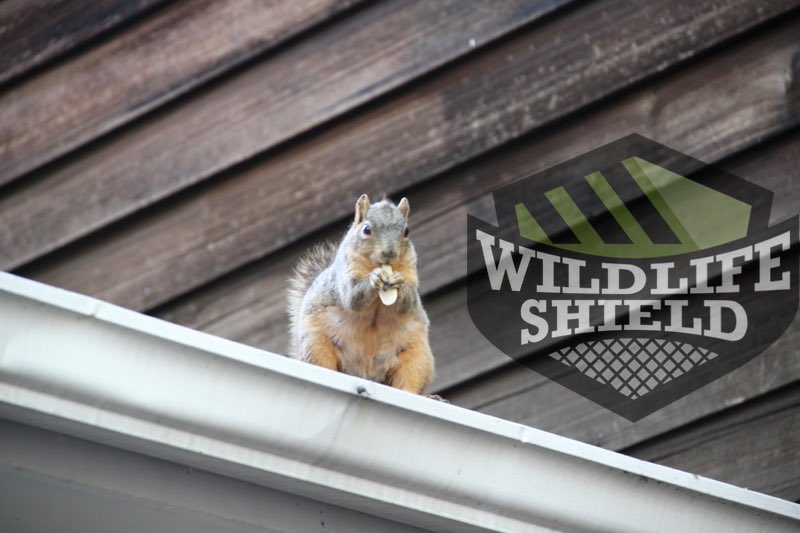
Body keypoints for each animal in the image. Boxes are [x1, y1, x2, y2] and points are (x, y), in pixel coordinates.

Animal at [287, 194, 435, 394]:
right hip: (315, 345)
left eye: (407, 231)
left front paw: (399, 283)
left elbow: (409, 301)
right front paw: (374, 278)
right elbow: (352, 297)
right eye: (366, 229)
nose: (389, 252)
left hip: (417, 358)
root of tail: (366, 375)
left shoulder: (411, 272)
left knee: (410, 384)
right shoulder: (346, 273)